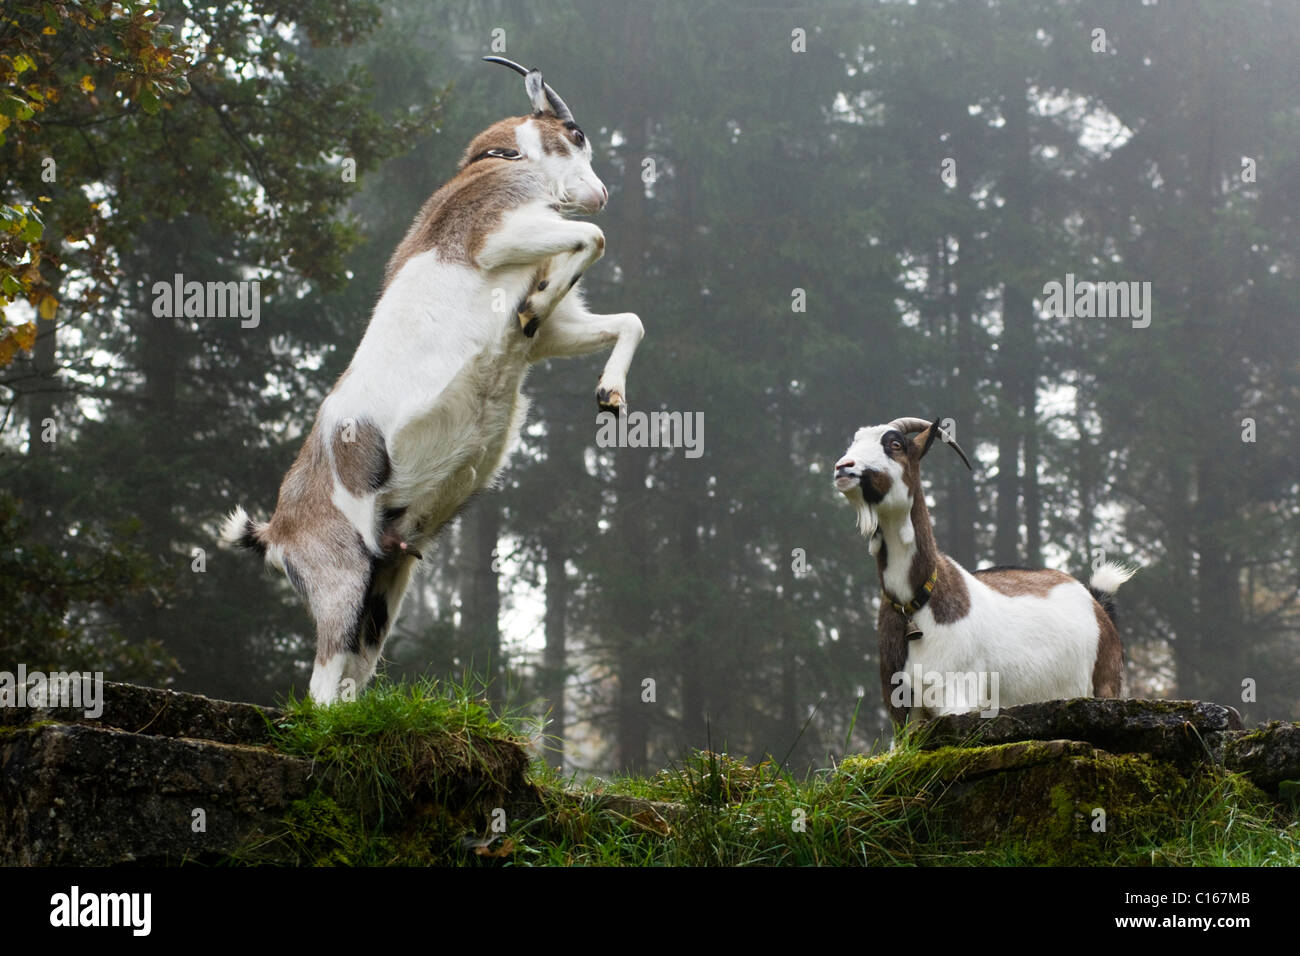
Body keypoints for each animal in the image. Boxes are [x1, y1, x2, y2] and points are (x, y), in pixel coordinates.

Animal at [228, 57, 650, 702]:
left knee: (349, 680)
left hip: (384, 585)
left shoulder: (549, 338)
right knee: (321, 687)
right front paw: (535, 303)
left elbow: (626, 320)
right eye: (575, 133)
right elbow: (593, 239)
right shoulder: (500, 238)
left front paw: (609, 396)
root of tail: (276, 530)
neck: (503, 162)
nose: (600, 194)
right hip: (342, 582)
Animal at [837, 416, 1133, 723]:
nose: (843, 467)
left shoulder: (958, 692)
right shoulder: (902, 707)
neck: (916, 600)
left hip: (1105, 681)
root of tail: (1098, 604)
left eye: (895, 444)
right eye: (854, 442)